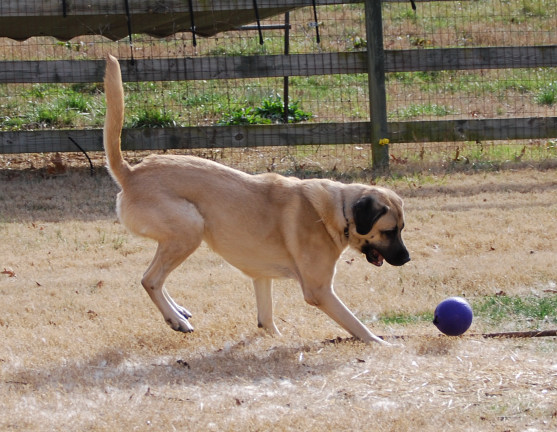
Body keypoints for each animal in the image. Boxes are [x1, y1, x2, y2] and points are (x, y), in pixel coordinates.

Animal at [103, 54, 408, 344]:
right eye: (389, 231)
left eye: (402, 229)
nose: (407, 258)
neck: (336, 211)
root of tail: (130, 173)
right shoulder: (319, 291)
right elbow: (358, 326)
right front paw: (381, 344)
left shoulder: (262, 276)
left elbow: (267, 317)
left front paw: (273, 336)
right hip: (190, 228)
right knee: (150, 280)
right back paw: (176, 320)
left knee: (155, 277)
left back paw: (178, 311)